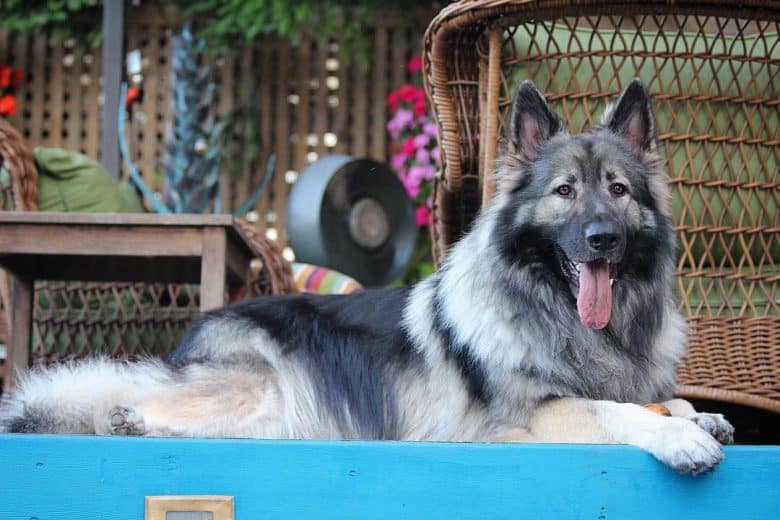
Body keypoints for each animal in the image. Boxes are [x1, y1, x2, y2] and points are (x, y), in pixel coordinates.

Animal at [0, 80, 732, 476]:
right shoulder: (524, 417)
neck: (561, 314)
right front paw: (680, 439)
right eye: (564, 192)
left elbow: (657, 399)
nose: (603, 239)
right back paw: (124, 421)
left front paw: (699, 414)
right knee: (118, 401)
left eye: (618, 190)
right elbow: (613, 409)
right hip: (256, 390)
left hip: (282, 419)